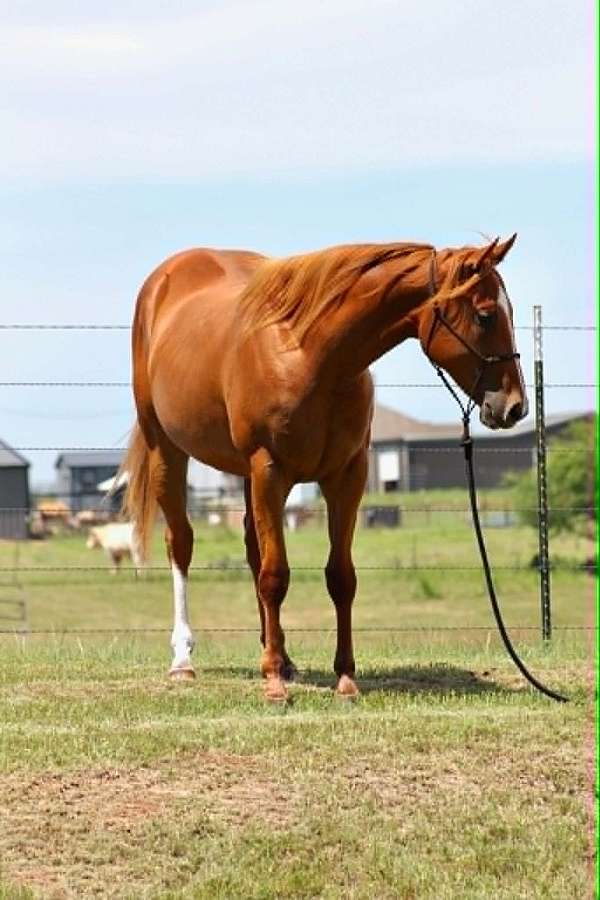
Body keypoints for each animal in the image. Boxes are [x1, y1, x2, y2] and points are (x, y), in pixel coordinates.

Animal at [120, 235, 527, 701]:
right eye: (485, 315)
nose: (515, 407)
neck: (310, 355)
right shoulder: (270, 470)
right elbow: (275, 575)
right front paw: (274, 683)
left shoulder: (346, 477)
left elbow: (340, 577)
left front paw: (344, 676)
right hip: (167, 450)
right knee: (182, 544)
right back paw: (184, 661)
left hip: (243, 474)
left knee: (252, 549)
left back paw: (279, 655)